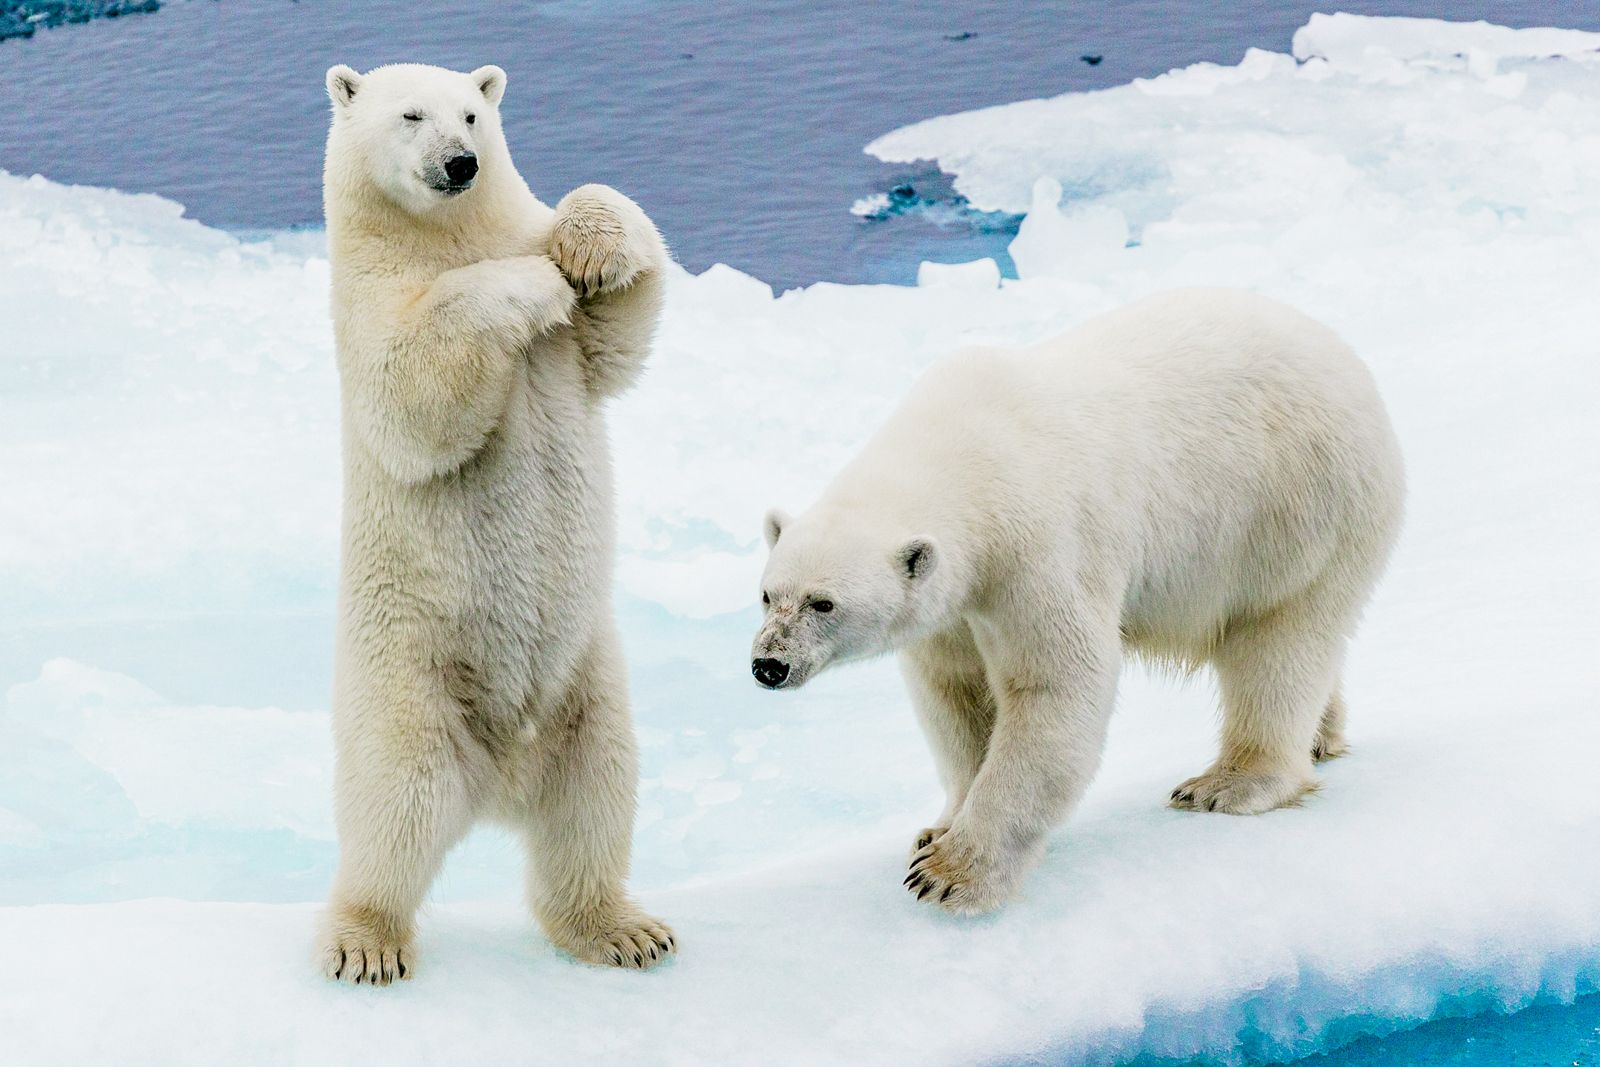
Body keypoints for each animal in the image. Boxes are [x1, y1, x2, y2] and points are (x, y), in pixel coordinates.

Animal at [321, 60, 672, 985]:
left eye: (474, 115)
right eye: (410, 115)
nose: (460, 164)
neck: (443, 235)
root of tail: (502, 780)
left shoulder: (573, 347)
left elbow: (620, 331)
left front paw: (585, 249)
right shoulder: (367, 303)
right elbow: (415, 391)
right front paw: (534, 283)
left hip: (586, 684)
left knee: (595, 797)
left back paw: (623, 929)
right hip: (408, 681)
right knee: (393, 811)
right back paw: (365, 939)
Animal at [748, 289, 1401, 921]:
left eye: (824, 604)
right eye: (767, 594)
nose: (768, 665)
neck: (965, 455)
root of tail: (1348, 362)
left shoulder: (1038, 545)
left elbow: (1054, 684)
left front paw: (950, 874)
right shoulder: (955, 602)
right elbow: (956, 692)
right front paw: (937, 829)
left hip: (1296, 509)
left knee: (1278, 641)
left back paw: (1228, 783)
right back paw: (1322, 736)